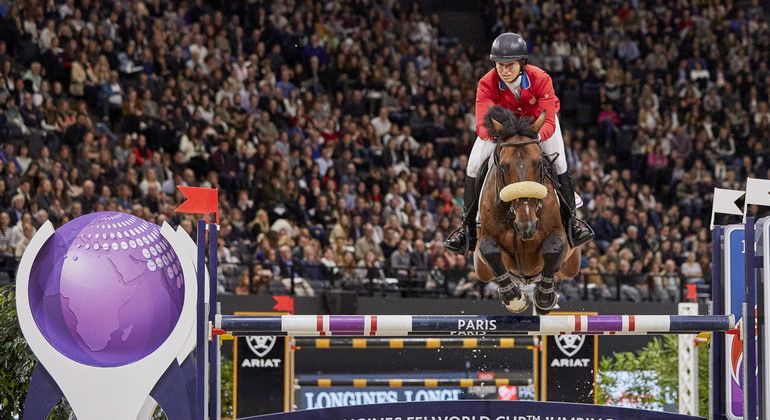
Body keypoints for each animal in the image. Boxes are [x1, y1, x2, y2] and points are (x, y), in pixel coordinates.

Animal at [472, 106, 580, 316]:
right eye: (503, 166)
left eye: (539, 163)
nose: (527, 226)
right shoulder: (485, 243)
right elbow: (489, 249)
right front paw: (516, 299)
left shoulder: (559, 237)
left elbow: (553, 246)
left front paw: (545, 299)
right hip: (481, 270)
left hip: (571, 266)